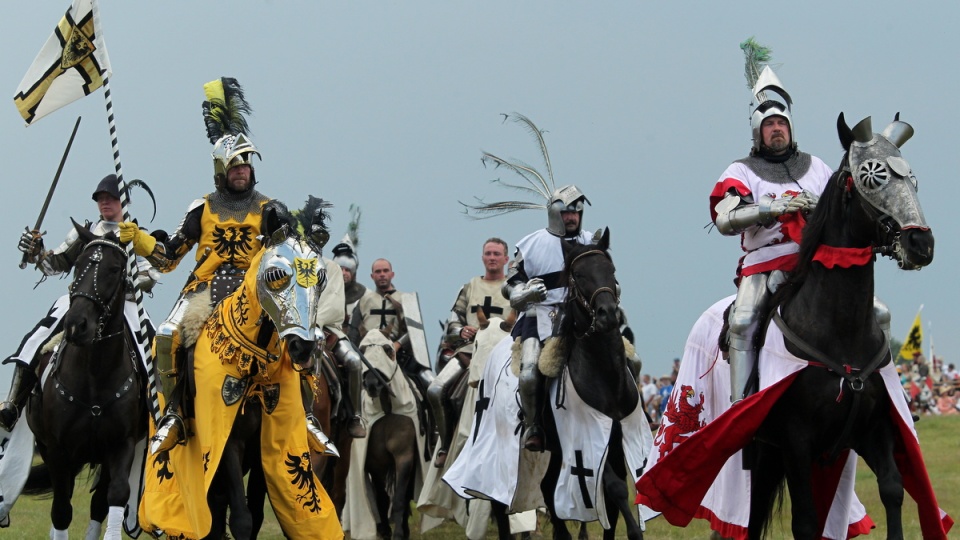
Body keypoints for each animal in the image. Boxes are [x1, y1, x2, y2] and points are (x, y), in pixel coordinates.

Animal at [24, 226, 149, 540]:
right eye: (78, 265)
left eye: (115, 269)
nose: (76, 325)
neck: (94, 377)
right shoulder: (57, 450)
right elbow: (61, 510)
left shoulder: (121, 445)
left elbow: (114, 497)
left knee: (98, 503)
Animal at [137, 209, 344, 536]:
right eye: (275, 275)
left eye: (321, 279)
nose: (302, 347)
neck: (256, 365)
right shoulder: (226, 443)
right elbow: (242, 519)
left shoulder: (269, 447)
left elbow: (255, 514)